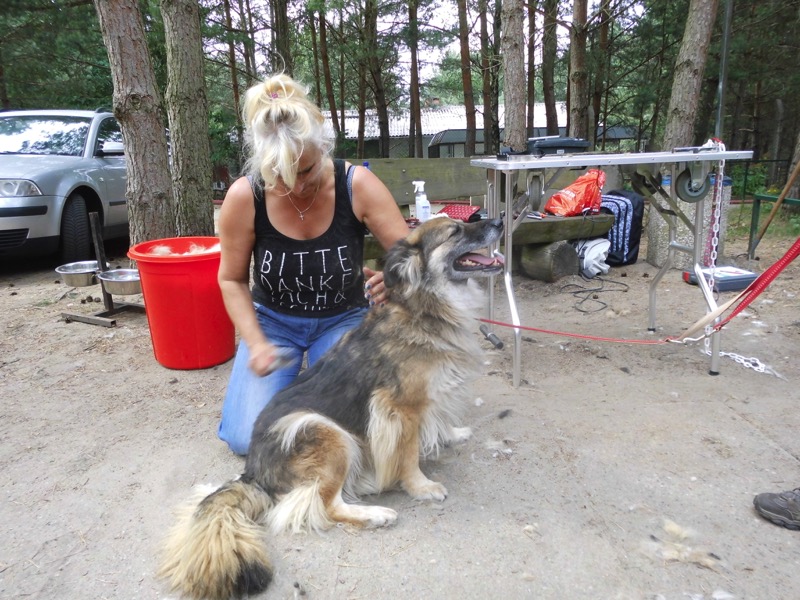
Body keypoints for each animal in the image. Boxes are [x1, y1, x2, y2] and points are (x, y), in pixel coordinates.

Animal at [158, 216, 504, 599]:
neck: (425, 307)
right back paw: (376, 514)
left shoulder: (428, 396)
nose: (499, 221)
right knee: (324, 504)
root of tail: (254, 473)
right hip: (321, 429)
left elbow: (439, 420)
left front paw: (452, 434)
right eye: (454, 231)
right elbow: (408, 454)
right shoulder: (399, 409)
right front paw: (421, 486)